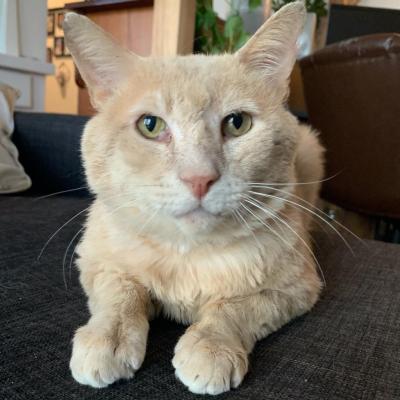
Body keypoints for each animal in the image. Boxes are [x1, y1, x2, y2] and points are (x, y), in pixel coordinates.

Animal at [63, 1, 324, 396]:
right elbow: (120, 293)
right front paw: (108, 337)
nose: (199, 178)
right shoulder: (96, 262)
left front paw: (211, 345)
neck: (187, 255)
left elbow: (236, 307)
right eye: (150, 125)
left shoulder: (297, 288)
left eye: (237, 123)